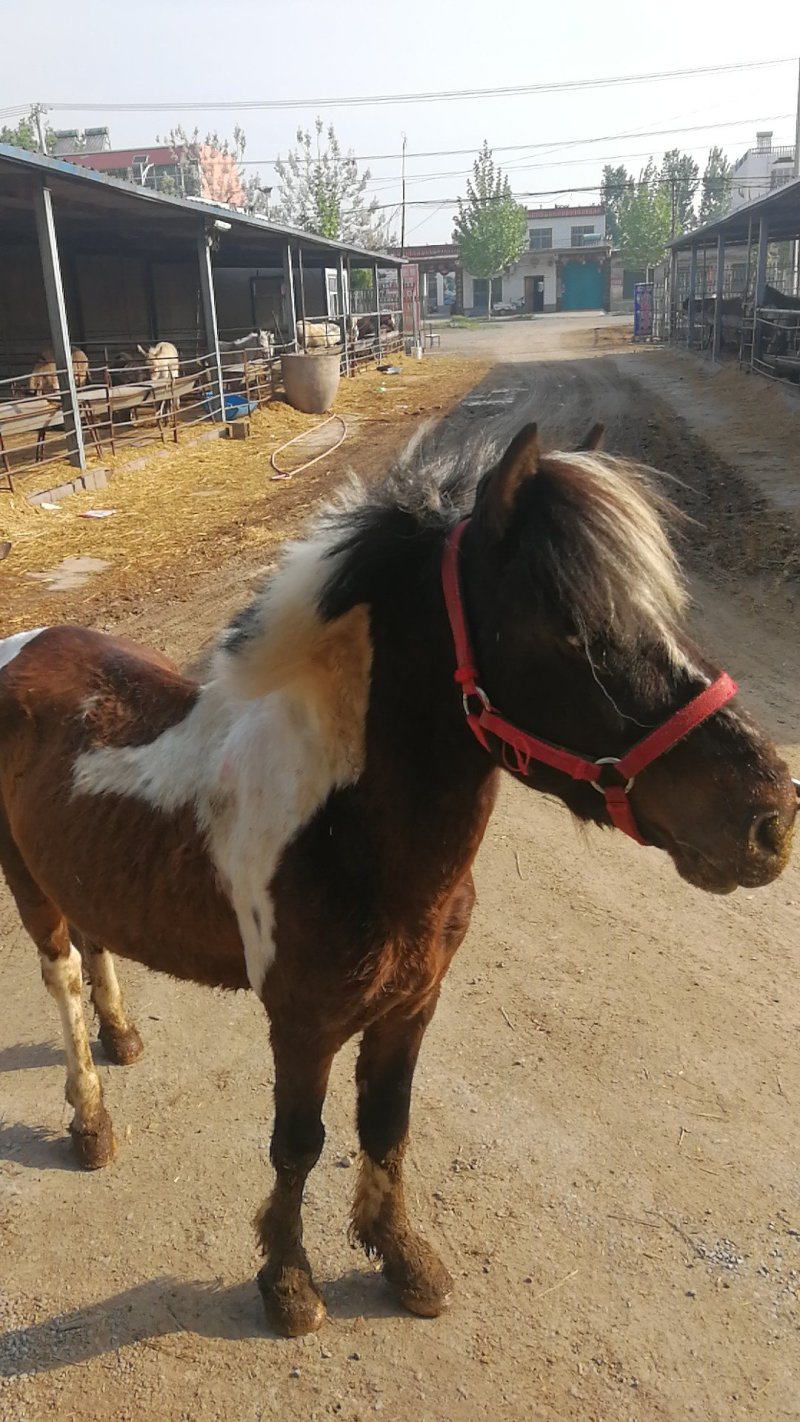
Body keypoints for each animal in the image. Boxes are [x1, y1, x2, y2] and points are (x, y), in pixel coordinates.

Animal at [0, 419, 796, 1339]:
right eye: (569, 628)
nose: (771, 817)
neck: (344, 832)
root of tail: (24, 647)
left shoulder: (414, 1003)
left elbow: (387, 1124)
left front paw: (402, 1257)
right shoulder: (302, 1023)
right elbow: (298, 1144)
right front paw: (288, 1283)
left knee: (95, 942)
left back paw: (122, 1037)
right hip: (25, 882)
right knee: (60, 976)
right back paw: (91, 1119)